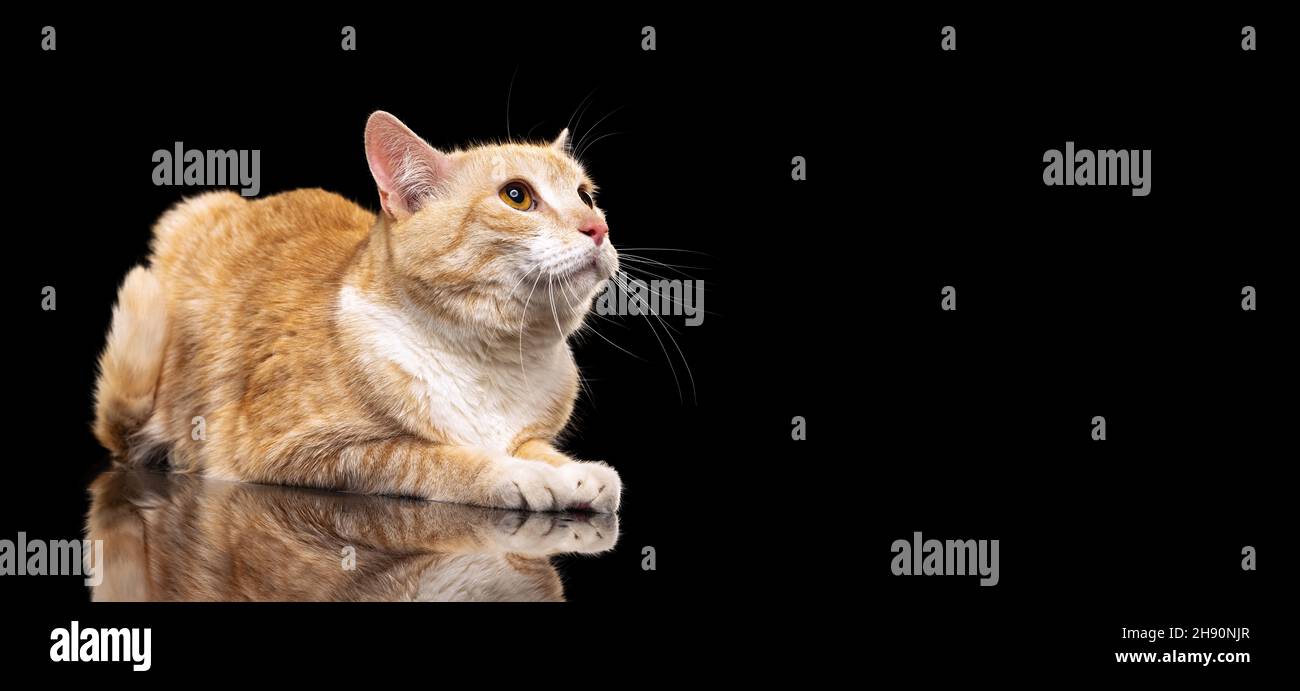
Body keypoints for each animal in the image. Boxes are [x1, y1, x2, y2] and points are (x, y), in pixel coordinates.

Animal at [94, 111, 621, 511]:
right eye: (517, 195)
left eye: (585, 196)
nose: (597, 228)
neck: (492, 360)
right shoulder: (296, 449)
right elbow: (432, 457)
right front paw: (520, 476)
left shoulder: (530, 431)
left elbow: (538, 448)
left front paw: (575, 472)